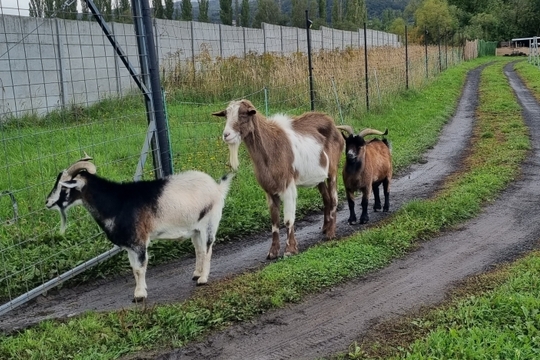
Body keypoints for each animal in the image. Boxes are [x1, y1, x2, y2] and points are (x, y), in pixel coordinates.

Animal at [46, 158, 232, 300]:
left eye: (64, 187)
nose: (47, 202)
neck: (117, 202)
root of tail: (217, 188)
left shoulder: (138, 240)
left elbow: (140, 267)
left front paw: (140, 295)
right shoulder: (129, 245)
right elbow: (134, 269)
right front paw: (139, 291)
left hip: (209, 223)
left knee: (207, 249)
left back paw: (203, 278)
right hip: (195, 229)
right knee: (199, 250)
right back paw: (196, 274)